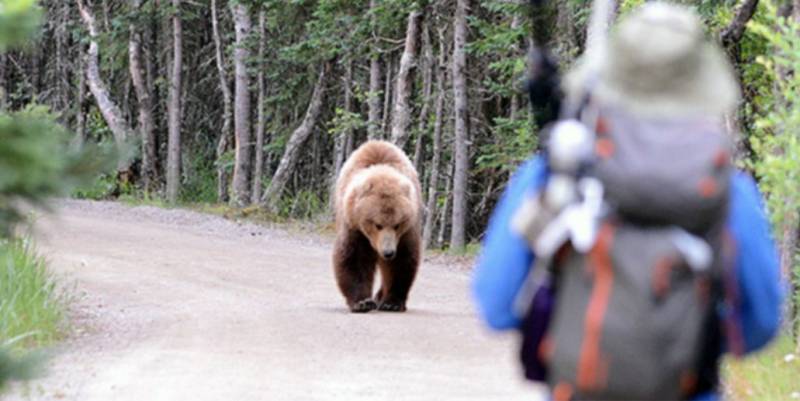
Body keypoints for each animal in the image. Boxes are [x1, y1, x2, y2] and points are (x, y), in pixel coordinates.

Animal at [332, 141, 424, 312]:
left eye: (397, 224)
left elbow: (401, 261)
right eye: (377, 224)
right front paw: (362, 302)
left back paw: (380, 296)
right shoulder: (354, 226)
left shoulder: (405, 233)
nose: (388, 252)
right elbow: (354, 258)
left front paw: (392, 302)